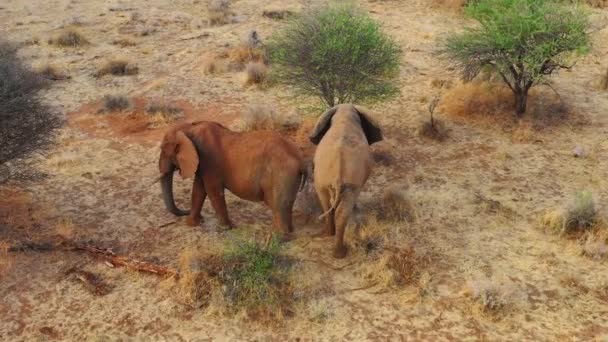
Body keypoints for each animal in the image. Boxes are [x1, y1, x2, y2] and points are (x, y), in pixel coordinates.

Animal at [159, 121, 306, 238]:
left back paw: (277, 237)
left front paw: (227, 228)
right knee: (284, 205)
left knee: (279, 205)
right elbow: (199, 189)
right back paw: (286, 232)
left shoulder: (210, 162)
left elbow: (213, 190)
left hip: (281, 174)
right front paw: (192, 224)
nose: (185, 211)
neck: (189, 128)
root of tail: (301, 160)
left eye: (163, 150)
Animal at [308, 103, 380, 258]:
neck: (344, 113)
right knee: (341, 210)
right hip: (347, 182)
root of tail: (338, 173)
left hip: (323, 179)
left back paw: (331, 238)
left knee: (325, 202)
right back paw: (339, 252)